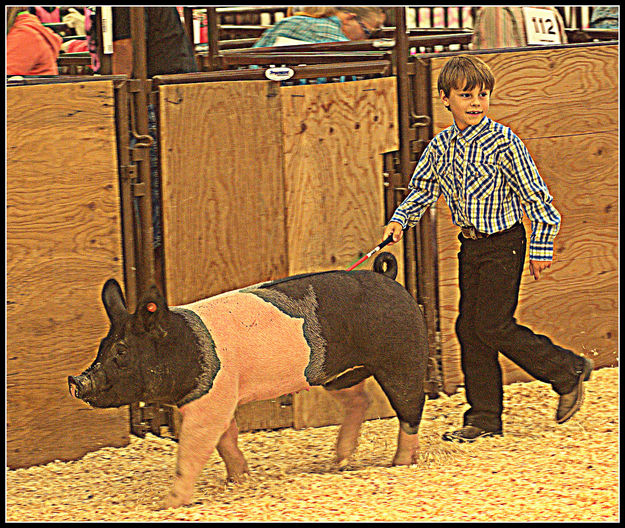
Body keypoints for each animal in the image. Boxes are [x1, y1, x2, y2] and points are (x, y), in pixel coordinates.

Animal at [68, 254, 428, 510]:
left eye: (122, 351)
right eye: (102, 346)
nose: (76, 380)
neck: (186, 347)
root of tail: (389, 278)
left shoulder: (212, 400)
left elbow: (193, 450)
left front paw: (166, 505)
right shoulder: (219, 399)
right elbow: (226, 440)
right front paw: (239, 479)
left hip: (403, 357)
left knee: (410, 409)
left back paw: (399, 463)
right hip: (338, 375)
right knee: (360, 401)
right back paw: (339, 461)